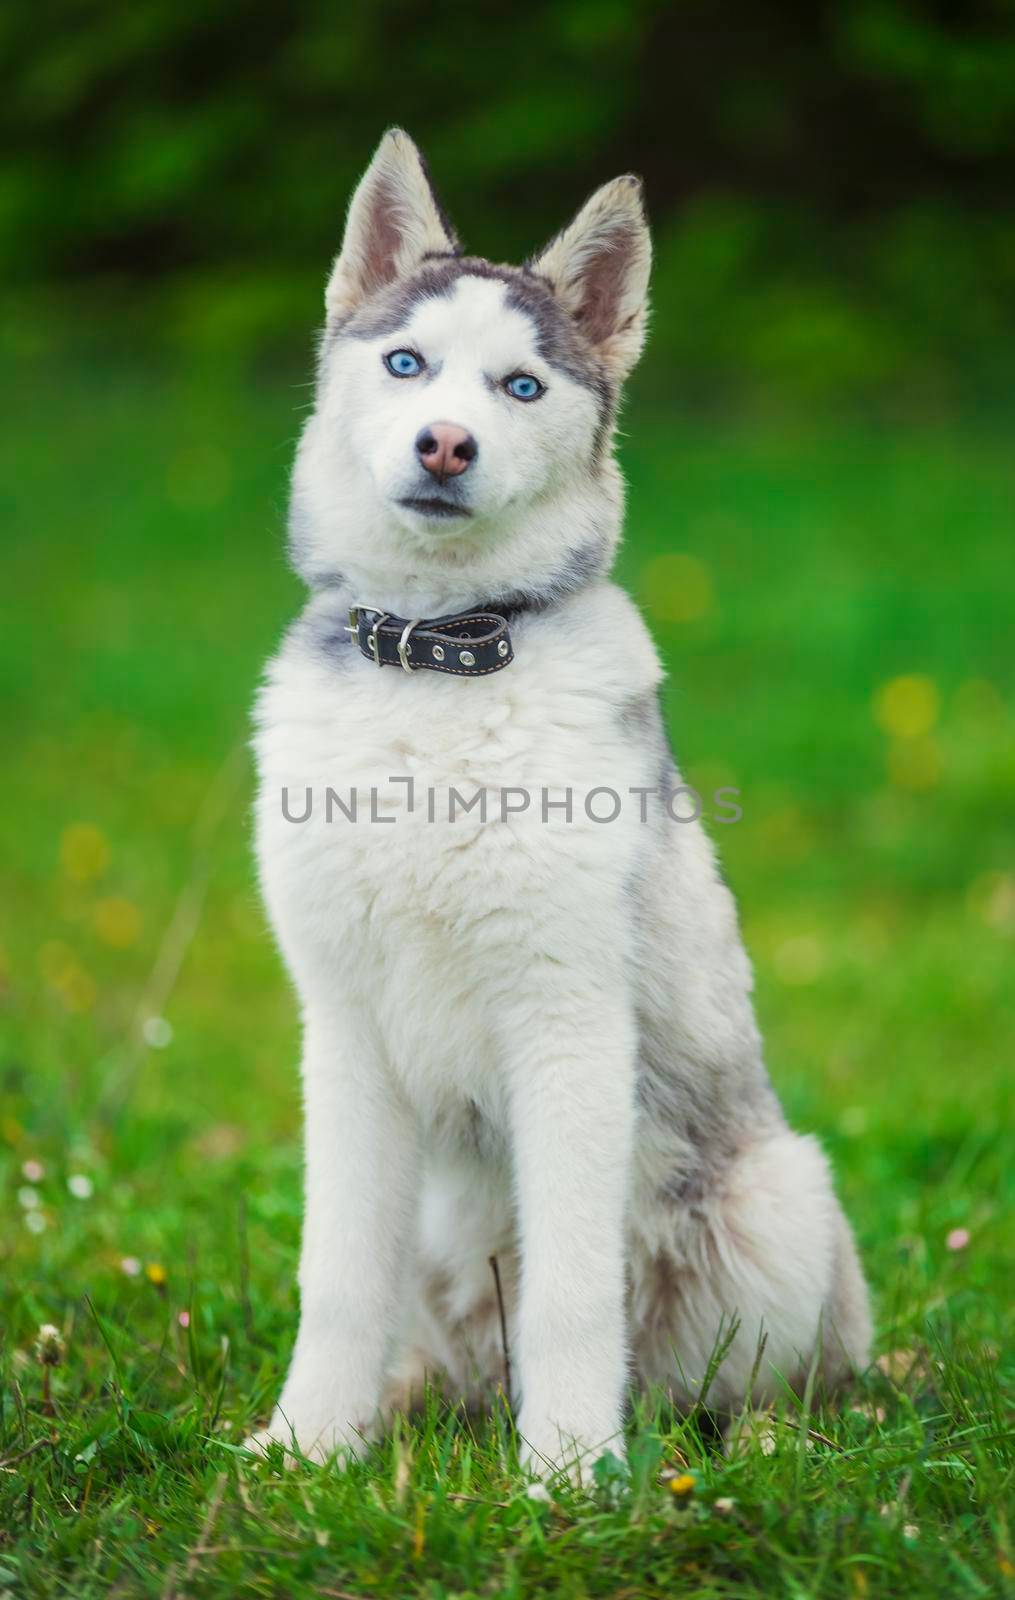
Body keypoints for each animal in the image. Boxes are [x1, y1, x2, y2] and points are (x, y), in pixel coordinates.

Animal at [246, 131, 870, 1478]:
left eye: (521, 387)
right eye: (406, 363)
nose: (444, 444)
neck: (435, 667)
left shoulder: (568, 1021)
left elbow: (575, 1289)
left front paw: (572, 1475)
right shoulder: (344, 1031)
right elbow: (336, 1275)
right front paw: (308, 1448)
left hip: (780, 1202)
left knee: (759, 1381)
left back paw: (743, 1443)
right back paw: (405, 1406)